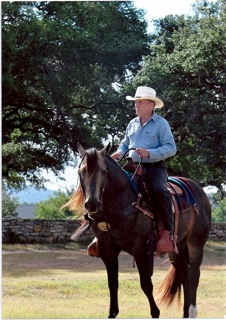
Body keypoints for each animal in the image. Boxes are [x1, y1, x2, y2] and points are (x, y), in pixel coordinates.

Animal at [66, 144, 211, 318]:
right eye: (81, 172)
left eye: (104, 171)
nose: (92, 204)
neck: (122, 202)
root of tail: (200, 191)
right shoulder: (107, 249)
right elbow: (112, 282)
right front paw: (112, 313)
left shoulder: (141, 249)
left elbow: (146, 284)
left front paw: (155, 312)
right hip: (177, 249)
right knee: (184, 276)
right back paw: (186, 313)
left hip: (195, 244)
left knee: (194, 275)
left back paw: (193, 311)